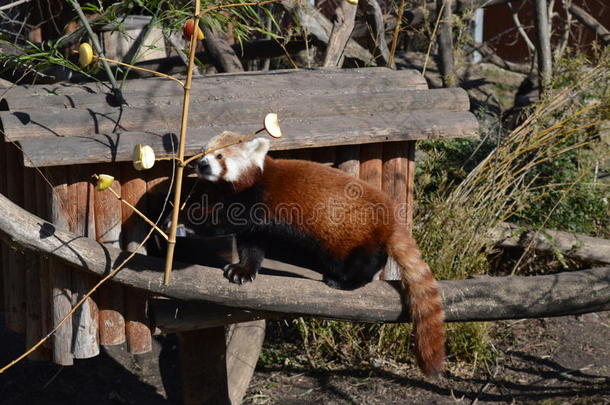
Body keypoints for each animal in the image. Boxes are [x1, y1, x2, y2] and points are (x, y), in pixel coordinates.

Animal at [192, 131, 444, 374]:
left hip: (351, 237)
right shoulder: (256, 224)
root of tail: (391, 218)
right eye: (203, 153)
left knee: (360, 262)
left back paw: (345, 281)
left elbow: (227, 220)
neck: (253, 179)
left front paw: (193, 221)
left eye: (219, 156)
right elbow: (251, 247)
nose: (202, 164)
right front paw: (242, 270)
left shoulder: (257, 199)